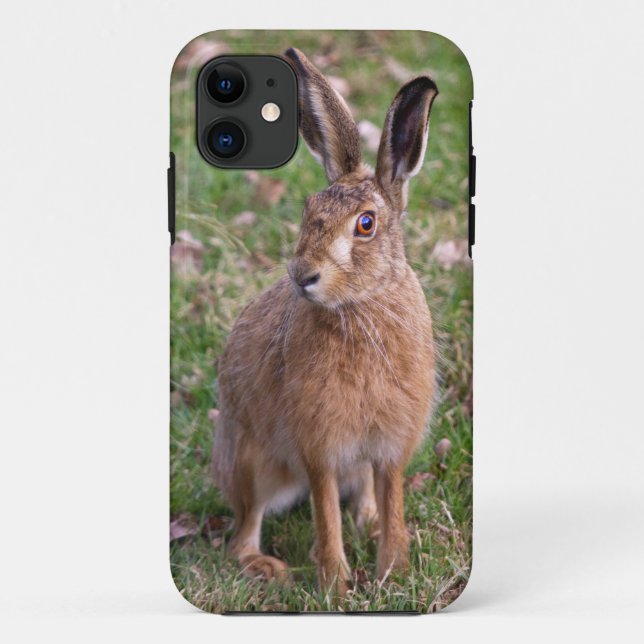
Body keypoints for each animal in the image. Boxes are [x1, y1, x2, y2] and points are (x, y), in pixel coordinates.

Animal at [212, 47, 439, 597]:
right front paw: (336, 583)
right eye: (308, 209)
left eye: (366, 224)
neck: (360, 306)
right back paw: (266, 567)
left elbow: (391, 498)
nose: (302, 275)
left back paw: (368, 523)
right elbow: (324, 511)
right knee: (243, 532)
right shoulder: (319, 446)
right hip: (254, 465)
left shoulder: (390, 447)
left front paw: (392, 571)